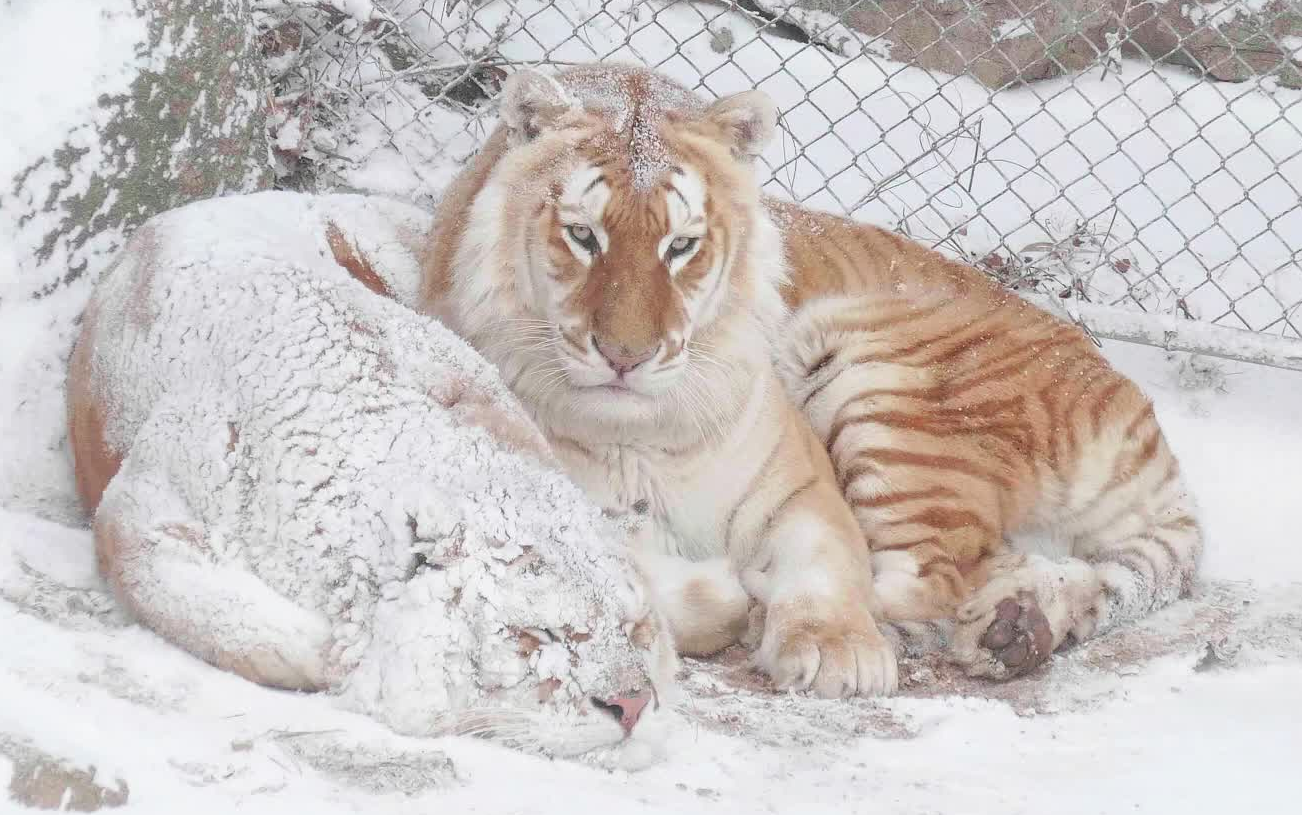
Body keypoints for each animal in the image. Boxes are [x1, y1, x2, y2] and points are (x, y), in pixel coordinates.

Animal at [420, 68, 899, 698]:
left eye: (681, 246)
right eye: (582, 235)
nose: (626, 356)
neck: (639, 440)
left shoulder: (802, 484)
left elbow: (824, 558)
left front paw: (837, 651)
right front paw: (732, 593)